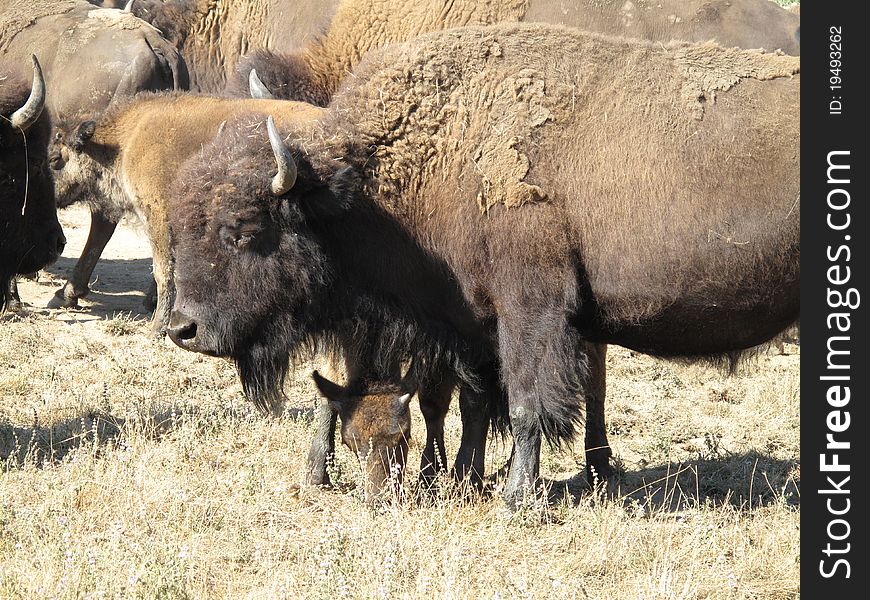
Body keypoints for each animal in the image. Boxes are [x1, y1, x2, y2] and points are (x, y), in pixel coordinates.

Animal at [167, 23, 800, 506]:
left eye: (245, 229)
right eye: (182, 220)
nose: (184, 328)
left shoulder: (531, 312)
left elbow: (525, 403)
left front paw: (514, 497)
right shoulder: (472, 323)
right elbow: (473, 399)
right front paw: (466, 479)